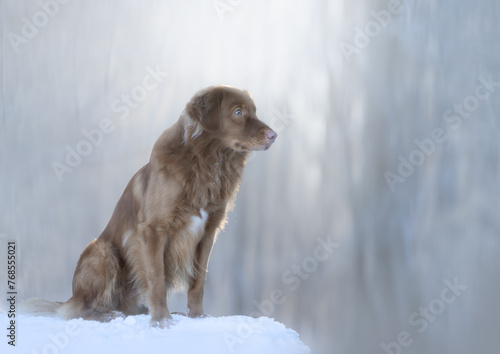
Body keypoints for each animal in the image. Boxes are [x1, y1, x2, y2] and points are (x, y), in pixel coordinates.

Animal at [39, 85, 278, 326]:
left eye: (254, 111)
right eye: (238, 112)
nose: (274, 135)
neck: (206, 163)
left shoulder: (208, 232)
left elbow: (198, 280)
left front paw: (197, 316)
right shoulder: (153, 230)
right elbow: (157, 279)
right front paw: (162, 320)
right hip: (101, 250)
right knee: (82, 309)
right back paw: (110, 314)